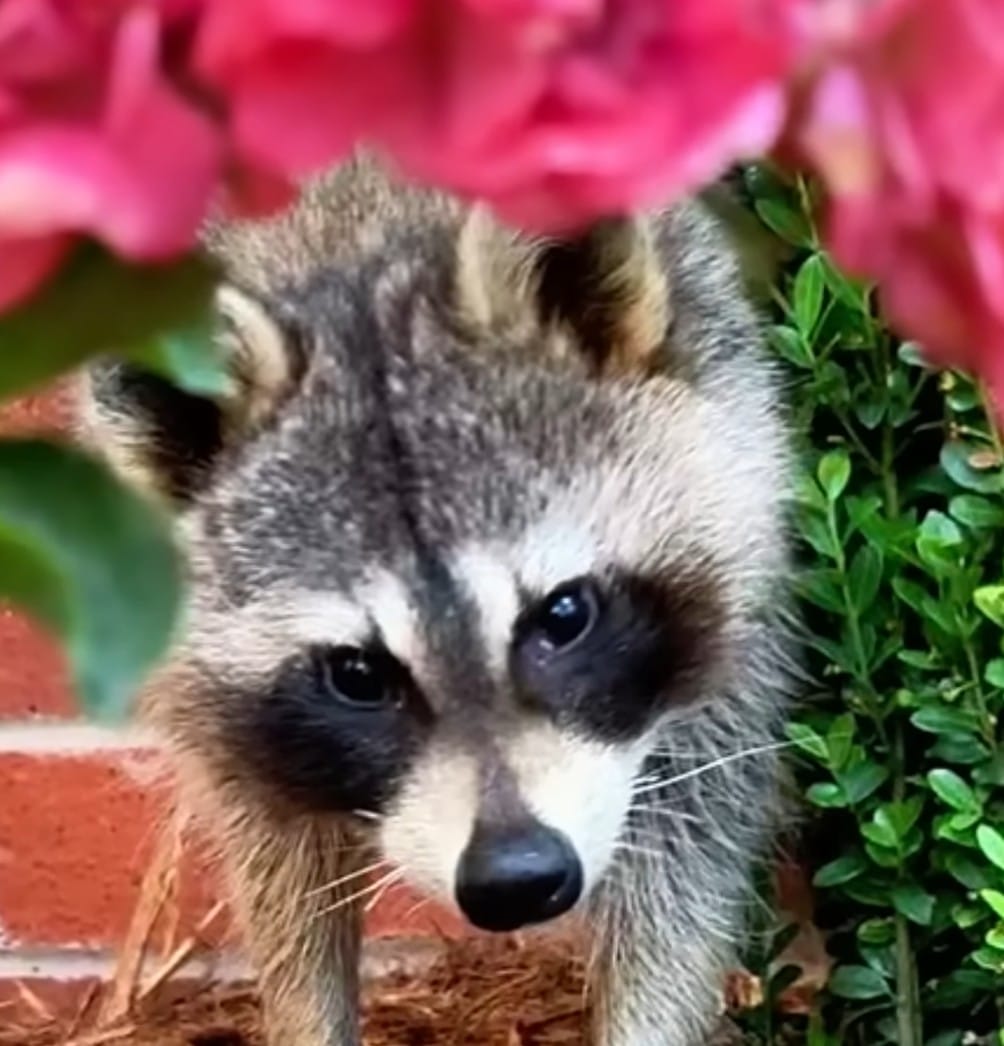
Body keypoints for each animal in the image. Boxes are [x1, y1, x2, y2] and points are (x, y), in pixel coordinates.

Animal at [80, 154, 792, 1046]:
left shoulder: (727, 594)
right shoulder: (226, 721)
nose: (518, 877)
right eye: (356, 673)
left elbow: (685, 861)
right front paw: (308, 1014)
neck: (357, 248)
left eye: (563, 615)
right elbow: (284, 880)